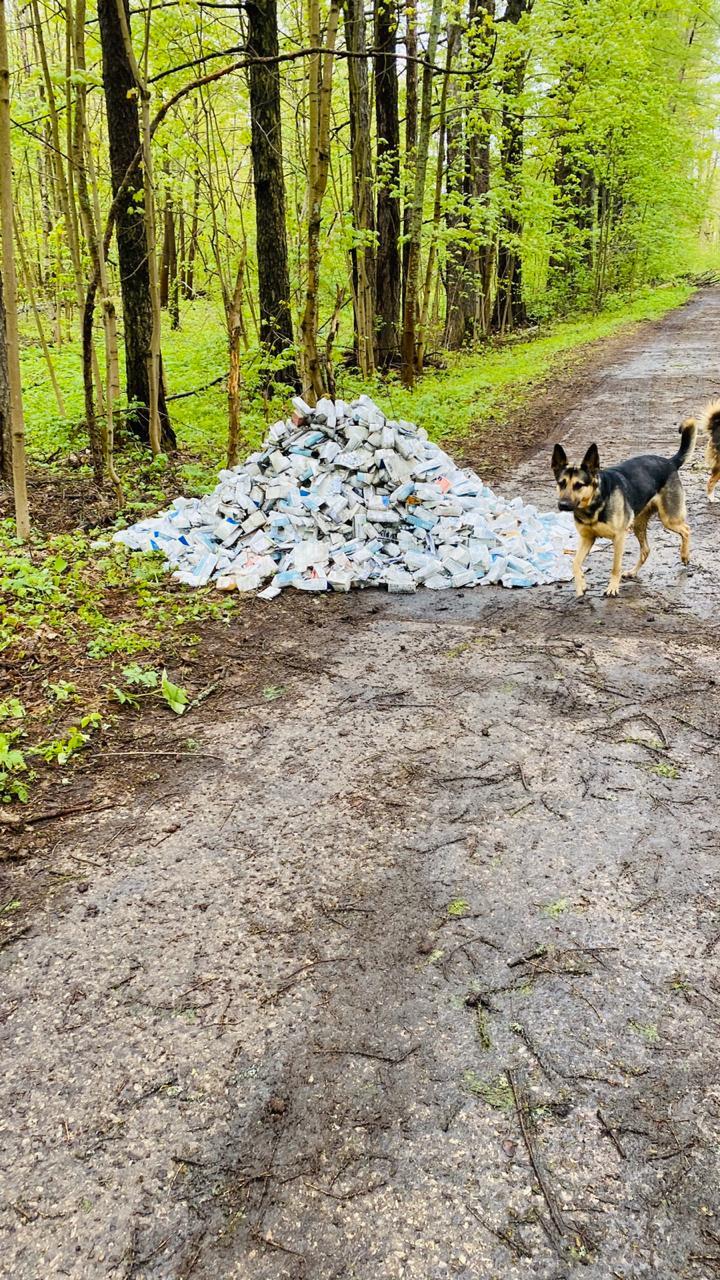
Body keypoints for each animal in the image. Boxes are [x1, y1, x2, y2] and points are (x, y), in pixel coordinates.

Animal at [545, 422, 691, 596]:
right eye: (561, 483)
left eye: (579, 485)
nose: (563, 505)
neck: (595, 504)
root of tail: (670, 462)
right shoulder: (587, 538)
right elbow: (575, 563)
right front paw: (581, 585)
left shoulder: (619, 538)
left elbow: (615, 567)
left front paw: (612, 588)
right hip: (638, 525)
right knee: (646, 550)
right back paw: (633, 572)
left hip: (669, 519)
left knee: (686, 530)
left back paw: (684, 556)